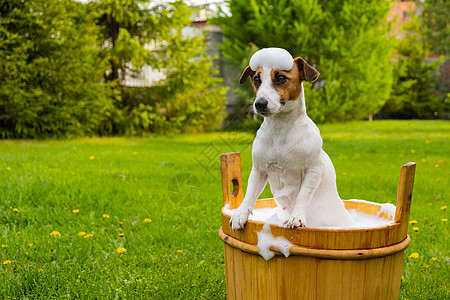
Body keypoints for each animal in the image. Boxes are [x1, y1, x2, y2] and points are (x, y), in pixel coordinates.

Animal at [230, 48, 356, 231]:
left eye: (281, 78)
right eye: (256, 79)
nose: (259, 104)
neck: (281, 129)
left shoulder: (313, 171)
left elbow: (303, 195)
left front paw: (297, 217)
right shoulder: (259, 169)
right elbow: (250, 192)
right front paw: (240, 214)